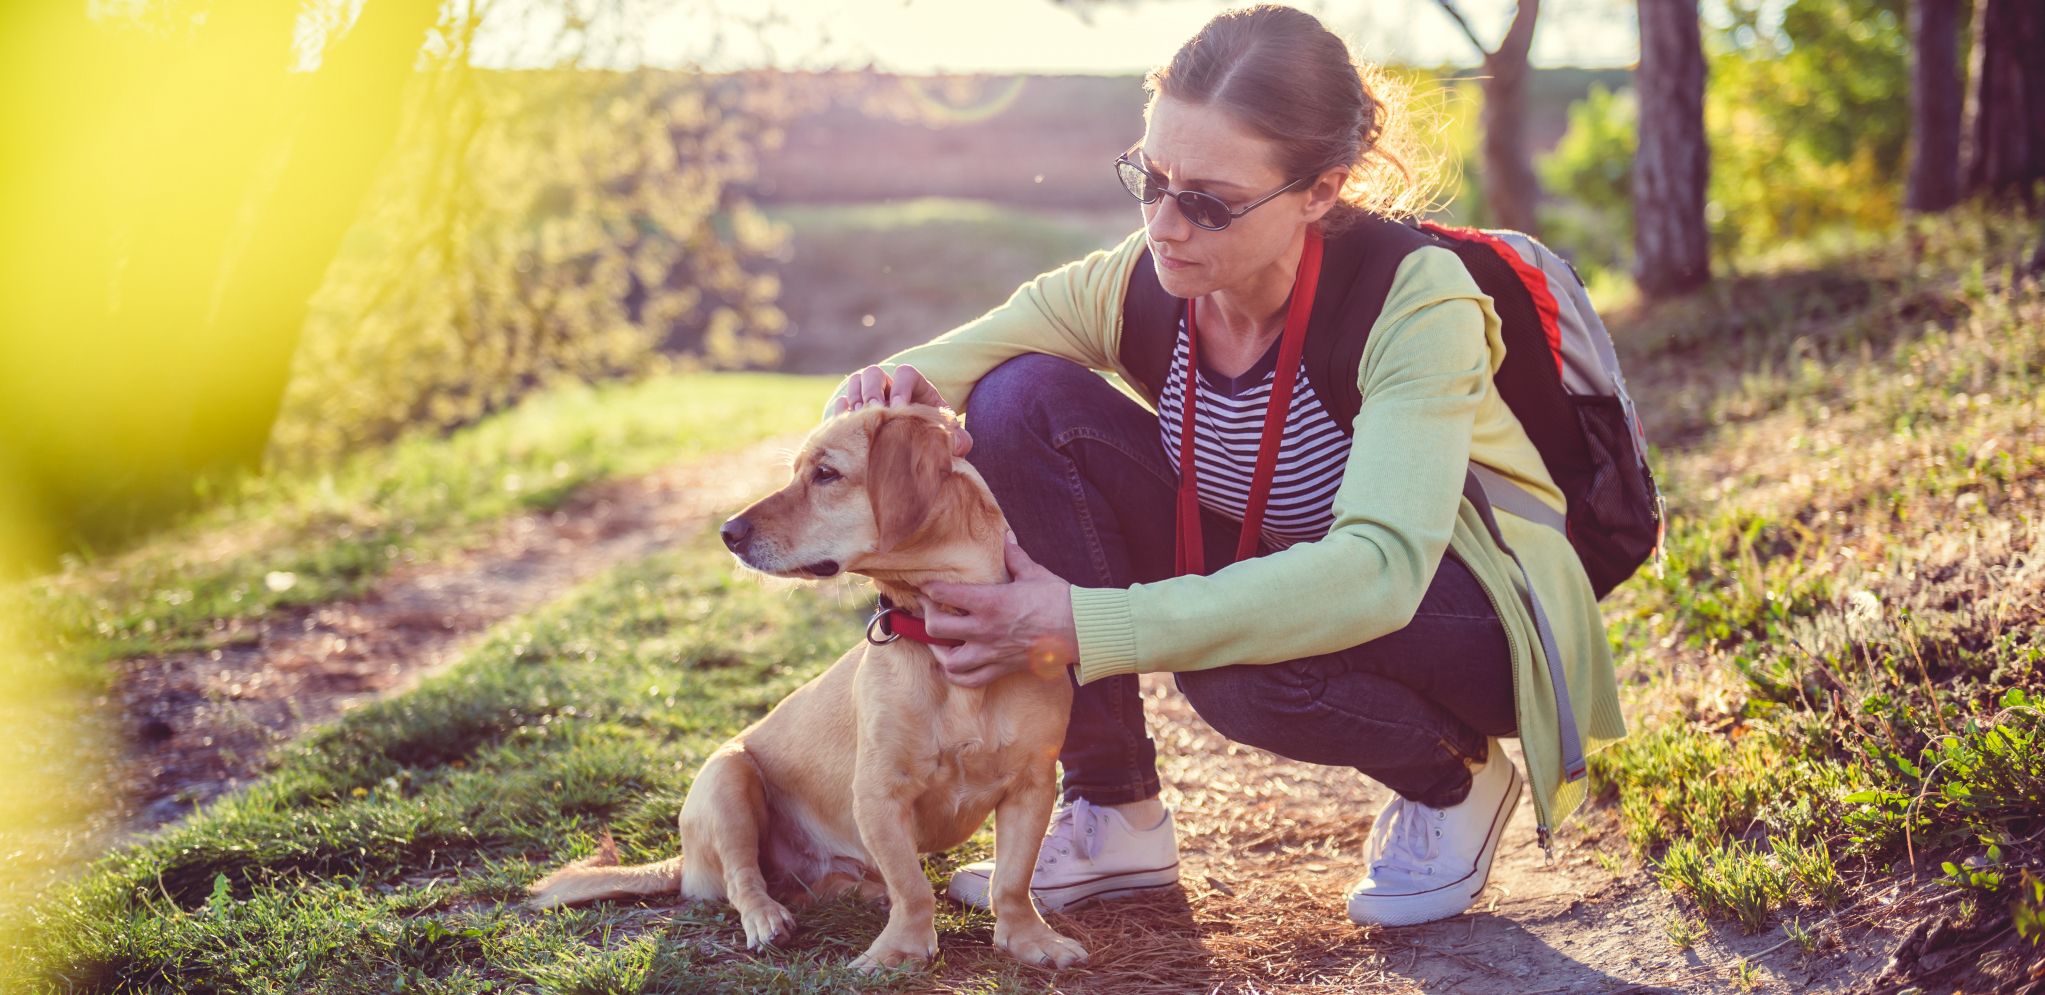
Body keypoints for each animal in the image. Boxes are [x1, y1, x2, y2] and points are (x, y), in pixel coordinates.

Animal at [527, 404, 1087, 972]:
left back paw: (860, 892)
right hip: (728, 777)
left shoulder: (1032, 784)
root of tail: (683, 862)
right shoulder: (879, 793)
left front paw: (1030, 939)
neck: (938, 633)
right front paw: (899, 951)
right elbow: (913, 888)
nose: (727, 531)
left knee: (813, 886)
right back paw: (767, 918)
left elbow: (1012, 880)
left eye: (826, 474)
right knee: (744, 880)